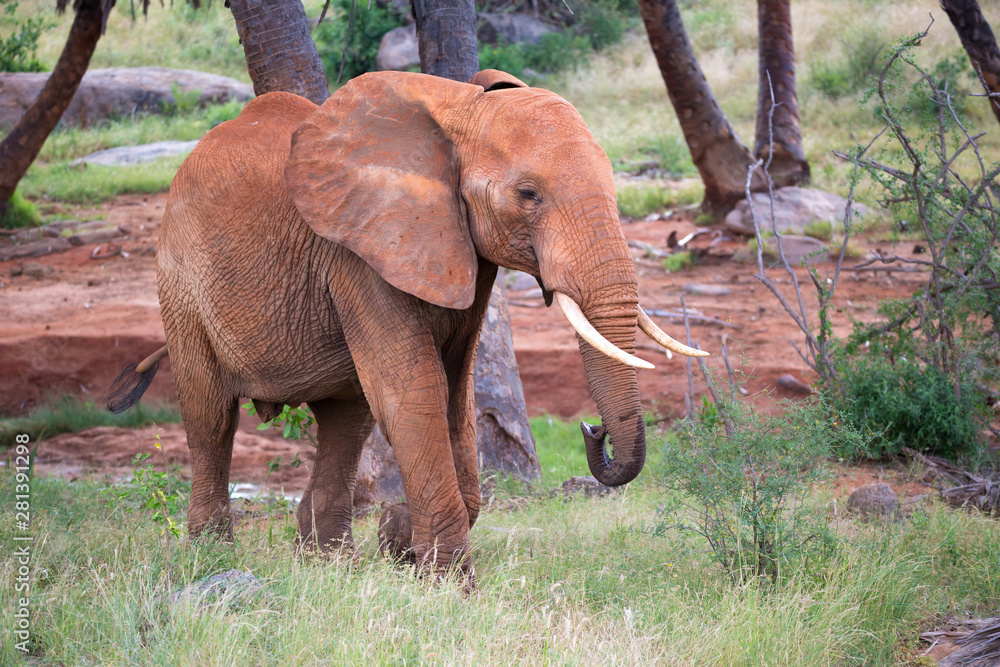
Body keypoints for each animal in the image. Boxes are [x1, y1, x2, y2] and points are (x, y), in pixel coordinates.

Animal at [103, 69, 704, 580]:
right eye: (528, 195)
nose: (592, 430)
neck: (461, 108)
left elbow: (455, 395)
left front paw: (399, 542)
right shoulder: (361, 252)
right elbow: (415, 392)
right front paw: (448, 584)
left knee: (346, 420)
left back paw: (330, 566)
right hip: (180, 280)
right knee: (211, 414)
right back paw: (213, 559)